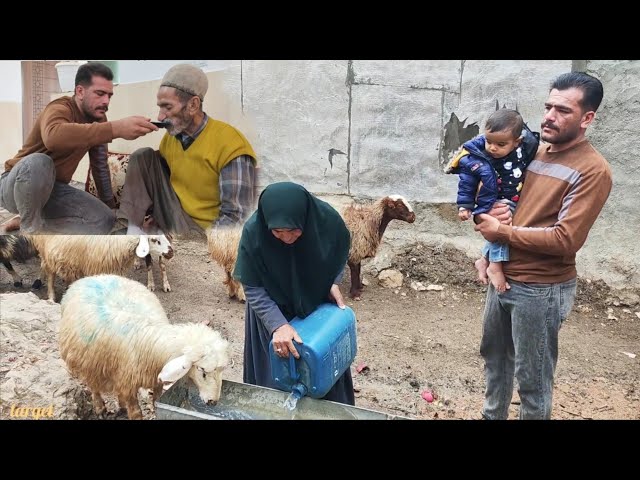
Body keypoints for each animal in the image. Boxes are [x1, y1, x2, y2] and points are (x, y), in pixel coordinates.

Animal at [59, 274, 230, 420]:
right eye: (202, 371)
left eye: (221, 370)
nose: (213, 402)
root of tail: (93, 276)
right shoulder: (128, 383)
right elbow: (135, 412)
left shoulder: (154, 379)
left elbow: (155, 401)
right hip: (88, 361)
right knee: (93, 385)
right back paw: (100, 408)